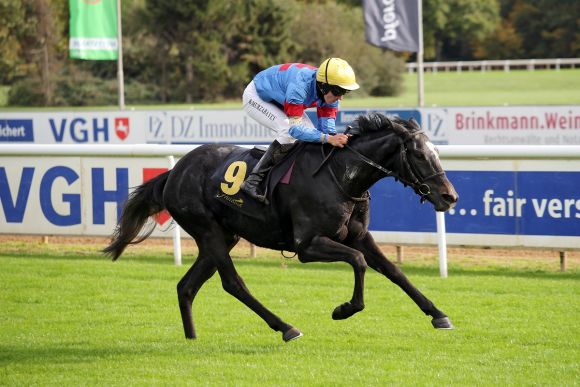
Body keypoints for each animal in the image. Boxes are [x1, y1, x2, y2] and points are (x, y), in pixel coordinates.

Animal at [103, 112, 458, 342]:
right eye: (418, 154)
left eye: (437, 152)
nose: (449, 196)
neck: (342, 175)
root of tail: (174, 173)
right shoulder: (307, 245)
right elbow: (358, 262)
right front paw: (344, 309)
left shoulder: (359, 236)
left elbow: (394, 272)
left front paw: (438, 314)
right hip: (209, 231)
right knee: (233, 284)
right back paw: (286, 327)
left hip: (223, 236)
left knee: (186, 286)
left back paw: (192, 338)